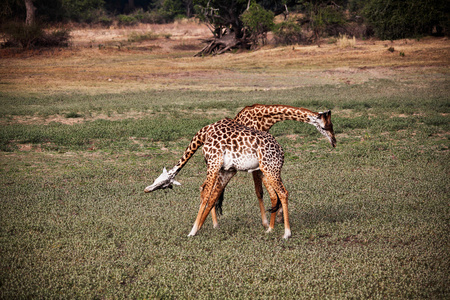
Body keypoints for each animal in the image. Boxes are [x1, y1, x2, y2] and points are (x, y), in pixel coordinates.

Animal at [143, 104, 334, 238]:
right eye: (326, 126)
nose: (334, 141)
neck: (264, 118)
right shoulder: (241, 168)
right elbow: (257, 193)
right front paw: (269, 223)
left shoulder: (236, 167)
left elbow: (262, 194)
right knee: (207, 190)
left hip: (247, 168)